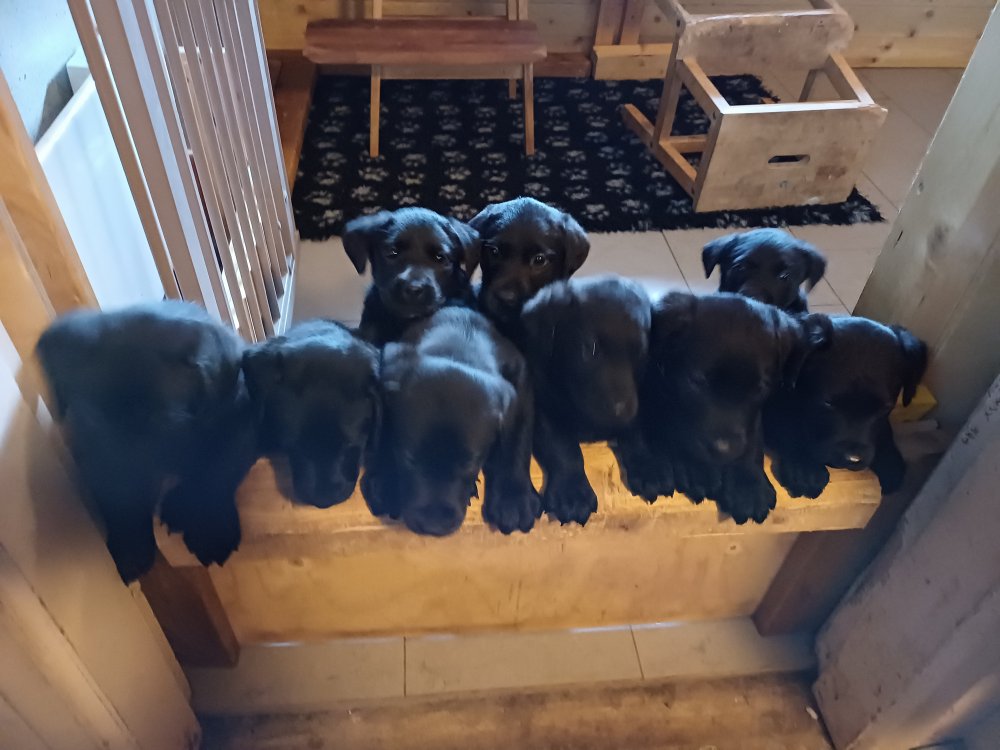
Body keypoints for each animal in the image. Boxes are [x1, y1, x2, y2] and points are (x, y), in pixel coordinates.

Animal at [35, 302, 257, 582]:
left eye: (159, 425)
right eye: (93, 424)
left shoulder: (243, 415)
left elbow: (221, 464)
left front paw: (209, 529)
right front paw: (131, 548)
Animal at [362, 307, 540, 537]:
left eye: (471, 462)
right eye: (408, 458)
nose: (434, 526)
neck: (458, 345)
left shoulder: (521, 381)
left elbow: (518, 438)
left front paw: (514, 499)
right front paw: (386, 479)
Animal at [520, 275, 651, 525]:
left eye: (640, 351)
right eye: (590, 348)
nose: (620, 412)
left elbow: (639, 427)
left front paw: (648, 464)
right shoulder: (541, 403)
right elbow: (563, 447)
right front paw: (572, 495)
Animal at [617, 292, 832, 524]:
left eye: (760, 387)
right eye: (697, 381)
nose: (724, 450)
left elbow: (752, 438)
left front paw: (748, 484)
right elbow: (639, 423)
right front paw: (656, 464)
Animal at [764, 316, 927, 498]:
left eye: (885, 408)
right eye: (828, 403)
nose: (853, 459)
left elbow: (885, 429)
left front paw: (890, 460)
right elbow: (786, 424)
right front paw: (805, 470)